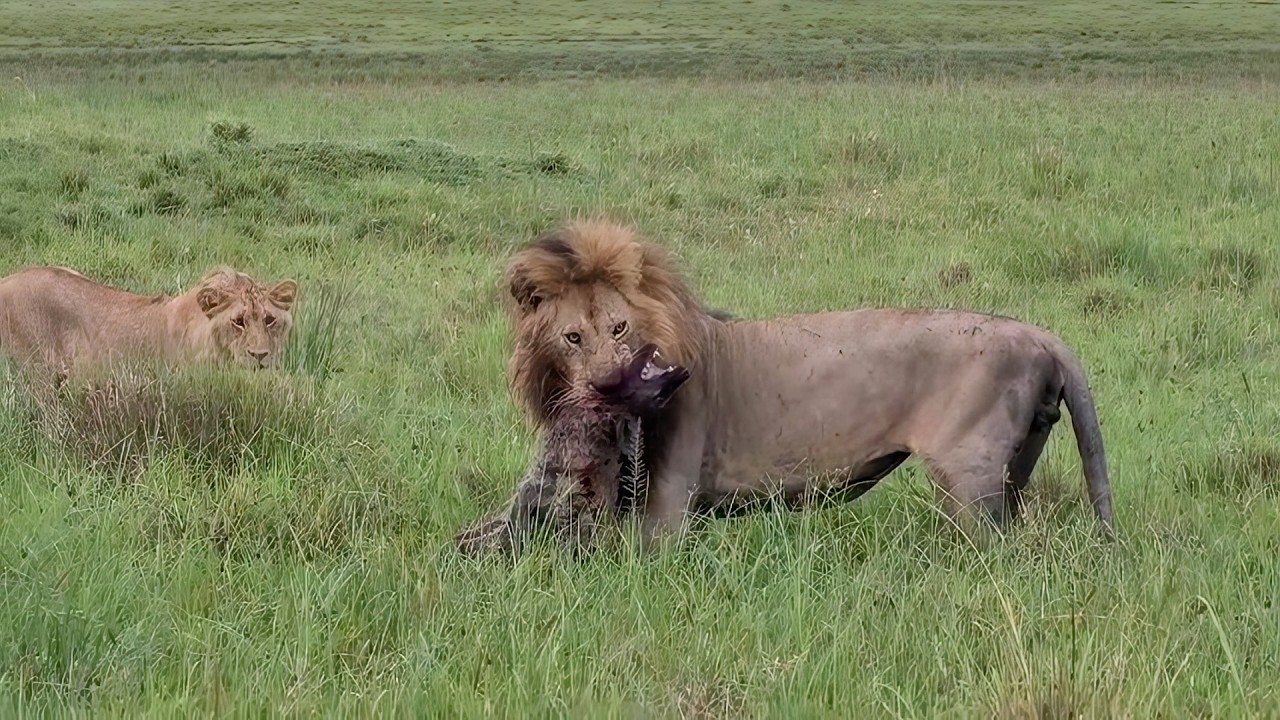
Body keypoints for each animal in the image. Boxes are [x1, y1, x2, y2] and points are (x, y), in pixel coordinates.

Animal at [459, 219, 1115, 555]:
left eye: (620, 327)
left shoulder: (667, 500)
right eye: (572, 338)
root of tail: (1038, 333)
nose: (608, 385)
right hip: (1015, 469)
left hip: (969, 478)